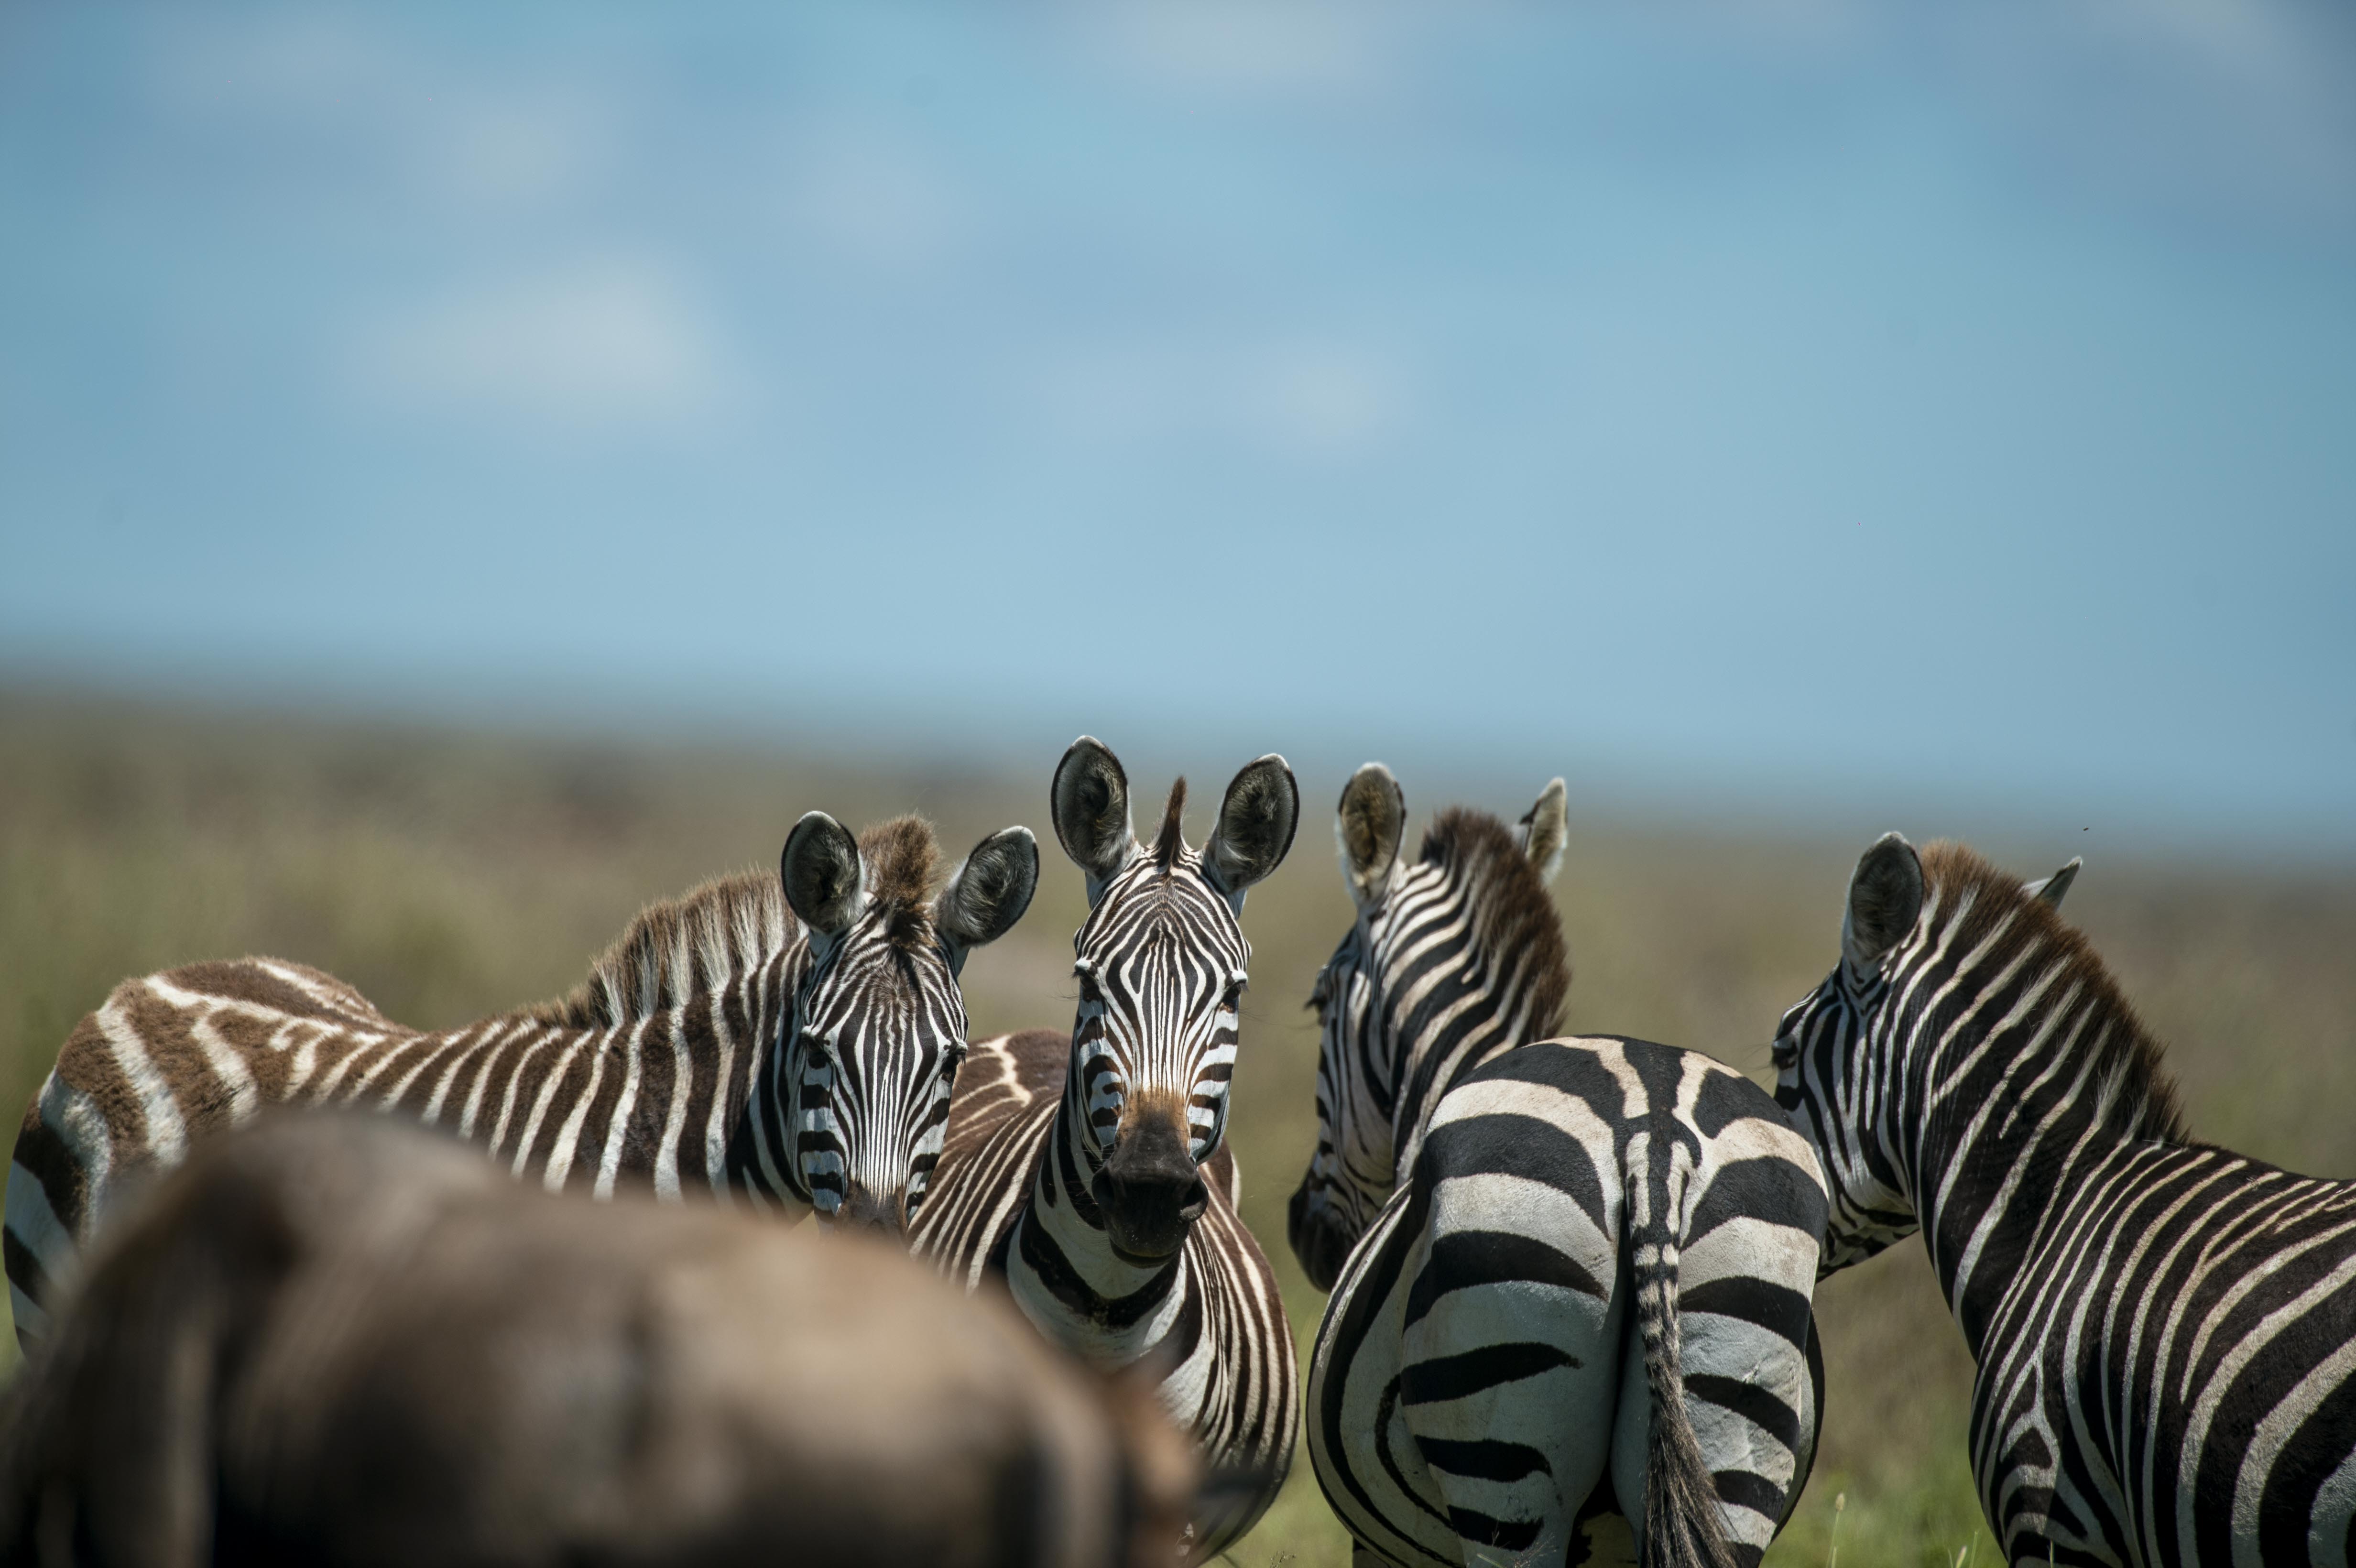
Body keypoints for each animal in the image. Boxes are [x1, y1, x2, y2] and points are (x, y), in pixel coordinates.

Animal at [1299, 764, 1829, 1568]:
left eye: (1320, 999)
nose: (1307, 1238)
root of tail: (1655, 1139)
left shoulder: (1385, 1549)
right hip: (1738, 1421)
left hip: (1504, 1455)